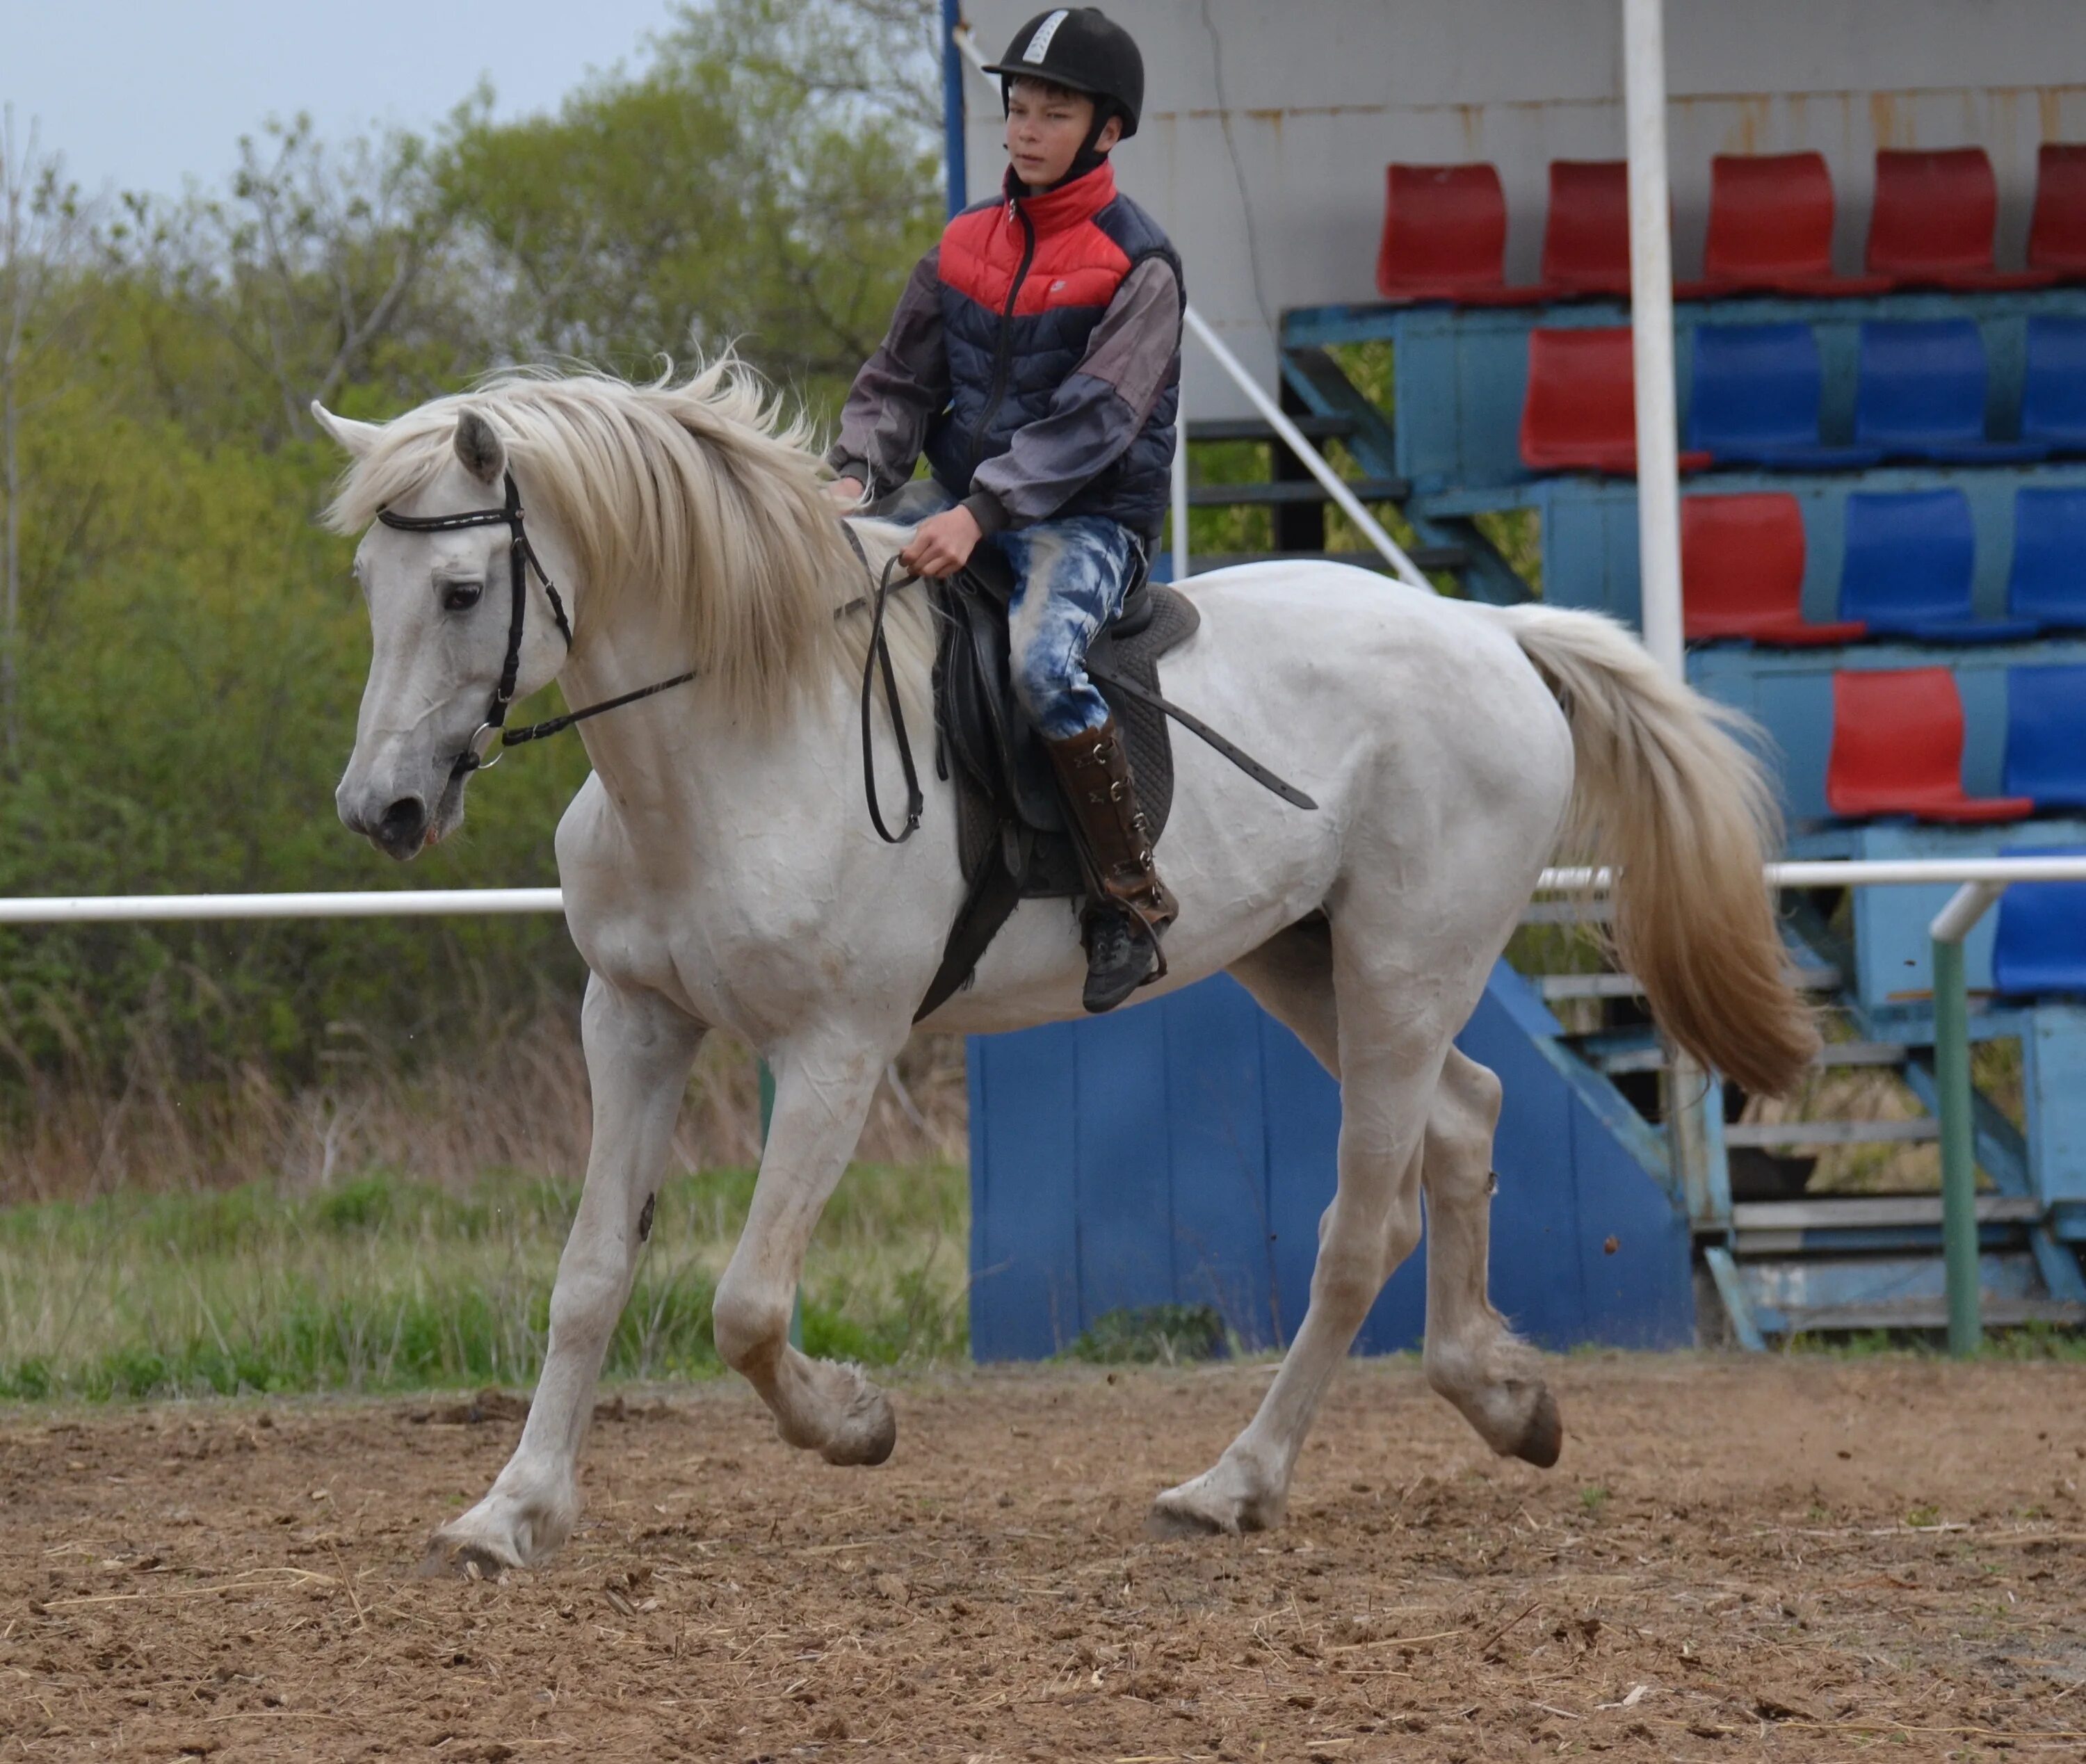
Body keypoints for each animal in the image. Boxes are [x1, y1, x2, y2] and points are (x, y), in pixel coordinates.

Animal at [309, 358, 1811, 1576]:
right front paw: (510, 1511)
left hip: (1402, 969)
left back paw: (1234, 1483)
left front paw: (855, 1420)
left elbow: (745, 1303)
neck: (741, 733)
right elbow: (587, 1278)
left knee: (1358, 1225)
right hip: (1307, 959)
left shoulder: (838, 1048)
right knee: (1466, 1121)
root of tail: (1497, 636)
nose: (381, 809)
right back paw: (1502, 1398)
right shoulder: (631, 1021)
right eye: (368, 591)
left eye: (460, 591)